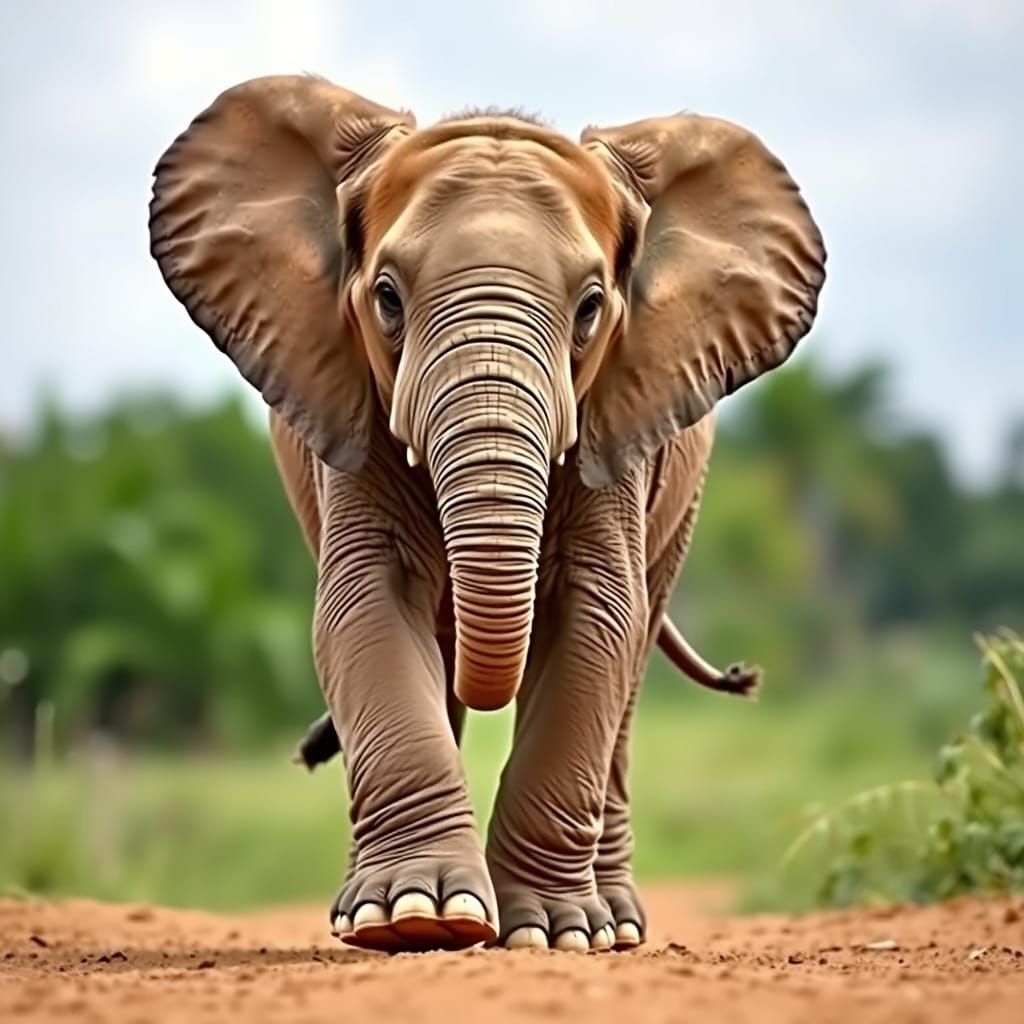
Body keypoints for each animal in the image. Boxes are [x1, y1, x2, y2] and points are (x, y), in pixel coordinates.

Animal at [148, 74, 825, 954]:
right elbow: (366, 603)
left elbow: (597, 617)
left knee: (633, 660)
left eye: (591, 308)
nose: (750, 673)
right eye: (387, 298)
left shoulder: (618, 419)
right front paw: (413, 918)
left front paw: (553, 933)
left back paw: (615, 924)